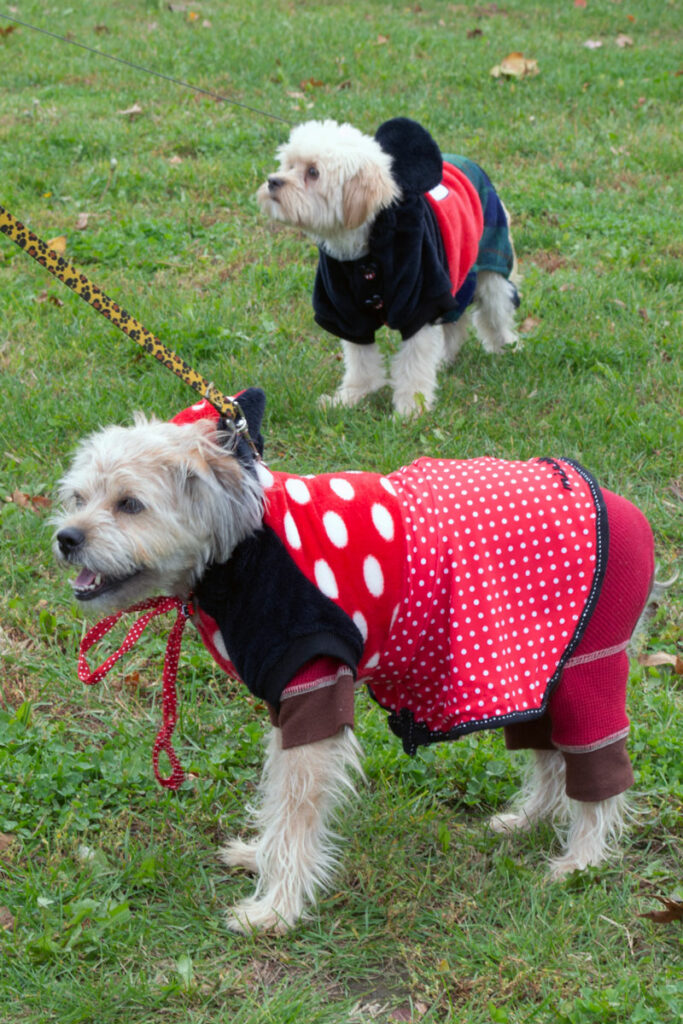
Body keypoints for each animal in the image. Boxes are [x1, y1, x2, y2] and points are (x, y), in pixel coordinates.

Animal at [56, 393, 659, 937]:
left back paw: (582, 860)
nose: (66, 537)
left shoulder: (313, 689)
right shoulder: (284, 702)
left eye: (130, 504)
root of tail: (627, 510)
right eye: (79, 497)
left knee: (598, 770)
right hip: (537, 673)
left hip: (586, 673)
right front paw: (260, 858)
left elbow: (295, 811)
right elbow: (277, 797)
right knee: (551, 760)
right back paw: (529, 819)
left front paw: (275, 910)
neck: (240, 547)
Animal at [259, 115, 520, 411]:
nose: (272, 181)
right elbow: (361, 362)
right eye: (289, 165)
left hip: (489, 270)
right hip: (456, 271)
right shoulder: (346, 312)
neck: (365, 249)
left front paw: (411, 408)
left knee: (496, 312)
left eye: (313, 172)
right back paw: (445, 359)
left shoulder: (420, 302)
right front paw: (351, 397)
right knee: (455, 323)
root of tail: (470, 163)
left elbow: (414, 364)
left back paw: (507, 346)